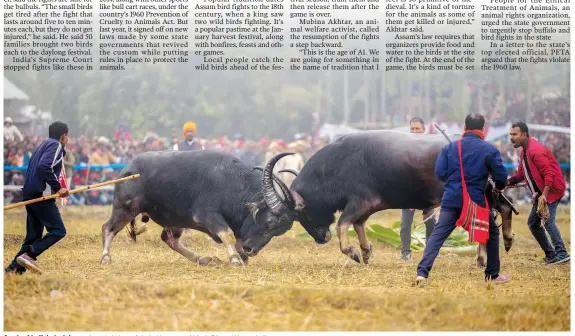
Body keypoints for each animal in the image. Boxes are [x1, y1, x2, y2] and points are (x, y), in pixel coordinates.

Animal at [100, 151, 296, 266]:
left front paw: (240, 256)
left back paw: (202, 259)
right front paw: (234, 259)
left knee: (170, 240)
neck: (233, 185)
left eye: (279, 231)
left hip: (175, 221)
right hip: (126, 207)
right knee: (108, 228)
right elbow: (227, 234)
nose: (251, 250)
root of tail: (128, 168)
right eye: (269, 221)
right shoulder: (206, 215)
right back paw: (106, 257)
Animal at [276, 131, 516, 266]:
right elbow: (358, 224)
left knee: (484, 221)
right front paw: (366, 252)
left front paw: (353, 253)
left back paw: (482, 258)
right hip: (489, 193)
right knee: (502, 209)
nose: (321, 238)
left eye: (302, 213)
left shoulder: (361, 201)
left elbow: (343, 223)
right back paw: (505, 241)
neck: (336, 164)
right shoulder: (367, 207)